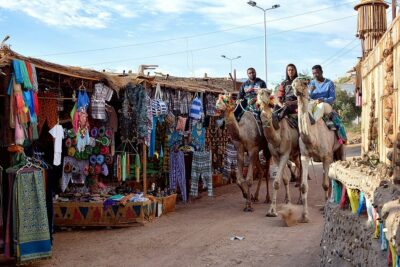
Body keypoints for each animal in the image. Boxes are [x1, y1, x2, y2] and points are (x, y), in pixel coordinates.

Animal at [258, 90, 302, 218]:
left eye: (268, 94)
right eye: (258, 103)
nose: (261, 93)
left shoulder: (285, 154)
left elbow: (277, 182)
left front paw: (272, 211)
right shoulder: (276, 156)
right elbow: (284, 179)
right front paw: (287, 201)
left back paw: (301, 199)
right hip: (294, 154)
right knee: (298, 167)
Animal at [290, 78, 344, 224]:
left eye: (304, 83)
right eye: (292, 84)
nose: (297, 90)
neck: (313, 138)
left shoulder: (326, 157)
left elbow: (325, 184)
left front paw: (326, 211)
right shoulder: (304, 156)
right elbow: (303, 186)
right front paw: (304, 216)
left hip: (339, 150)